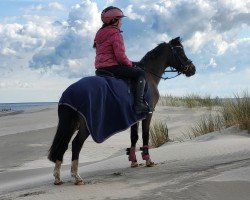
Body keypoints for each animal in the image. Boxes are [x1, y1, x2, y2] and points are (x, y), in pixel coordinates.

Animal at [47, 36, 195, 185]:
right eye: (180, 52)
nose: (192, 69)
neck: (149, 74)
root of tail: (69, 92)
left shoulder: (135, 116)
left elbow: (134, 137)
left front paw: (134, 161)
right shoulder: (148, 113)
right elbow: (145, 135)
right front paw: (148, 160)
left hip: (71, 122)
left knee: (63, 145)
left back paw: (58, 177)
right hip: (85, 124)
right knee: (76, 144)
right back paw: (76, 177)